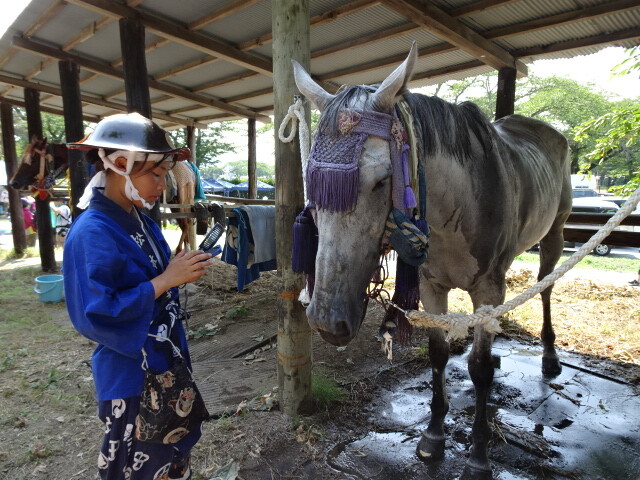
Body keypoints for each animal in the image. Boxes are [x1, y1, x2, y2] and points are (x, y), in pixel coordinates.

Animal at [292, 42, 572, 476]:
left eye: (381, 181)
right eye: (314, 182)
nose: (325, 320)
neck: (455, 207)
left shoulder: (487, 287)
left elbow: (476, 368)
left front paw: (478, 454)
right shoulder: (430, 285)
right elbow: (438, 354)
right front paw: (434, 436)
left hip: (554, 234)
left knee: (545, 289)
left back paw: (548, 356)